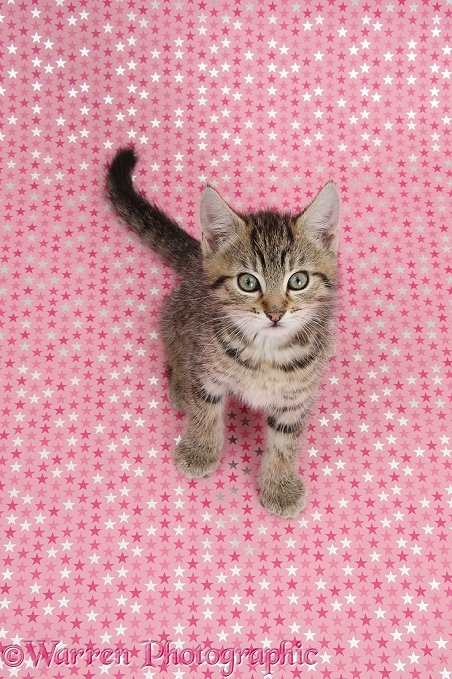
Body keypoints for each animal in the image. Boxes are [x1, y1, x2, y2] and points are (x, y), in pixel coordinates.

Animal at [107, 150, 340, 520]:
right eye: (248, 282)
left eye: (298, 280)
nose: (275, 313)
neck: (266, 351)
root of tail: (197, 261)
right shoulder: (208, 368)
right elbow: (206, 411)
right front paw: (200, 449)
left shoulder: (295, 398)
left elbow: (285, 443)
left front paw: (280, 485)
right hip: (183, 314)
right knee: (171, 335)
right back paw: (180, 384)